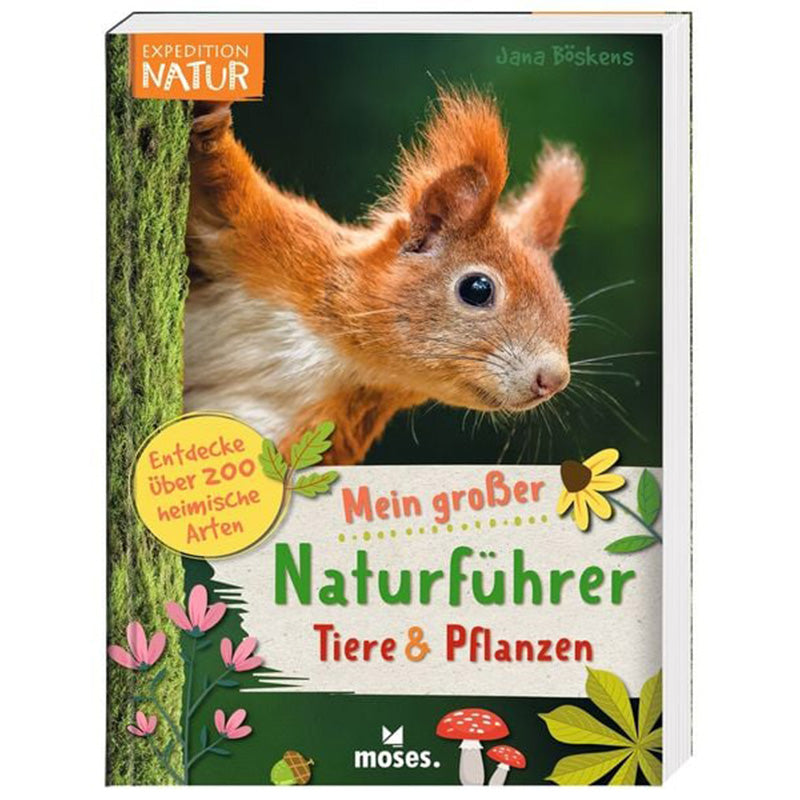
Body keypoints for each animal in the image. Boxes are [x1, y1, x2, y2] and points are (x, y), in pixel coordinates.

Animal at [184, 90, 583, 465]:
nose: (554, 379)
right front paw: (211, 127)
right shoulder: (269, 236)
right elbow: (223, 186)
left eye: (565, 308)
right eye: (477, 289)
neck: (338, 350)